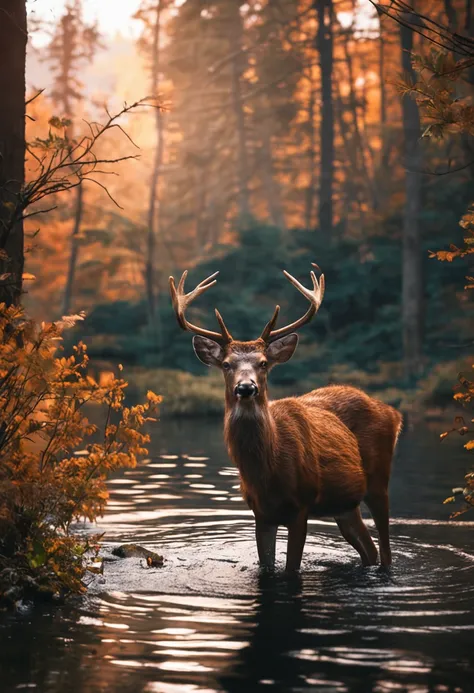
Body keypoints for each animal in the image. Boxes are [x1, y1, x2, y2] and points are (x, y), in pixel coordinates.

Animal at [168, 262, 402, 572]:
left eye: (264, 363)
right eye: (227, 364)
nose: (246, 387)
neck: (269, 469)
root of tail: (393, 412)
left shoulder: (301, 505)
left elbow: (291, 568)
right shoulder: (260, 513)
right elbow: (266, 564)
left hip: (378, 479)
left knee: (385, 551)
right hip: (344, 503)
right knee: (369, 550)